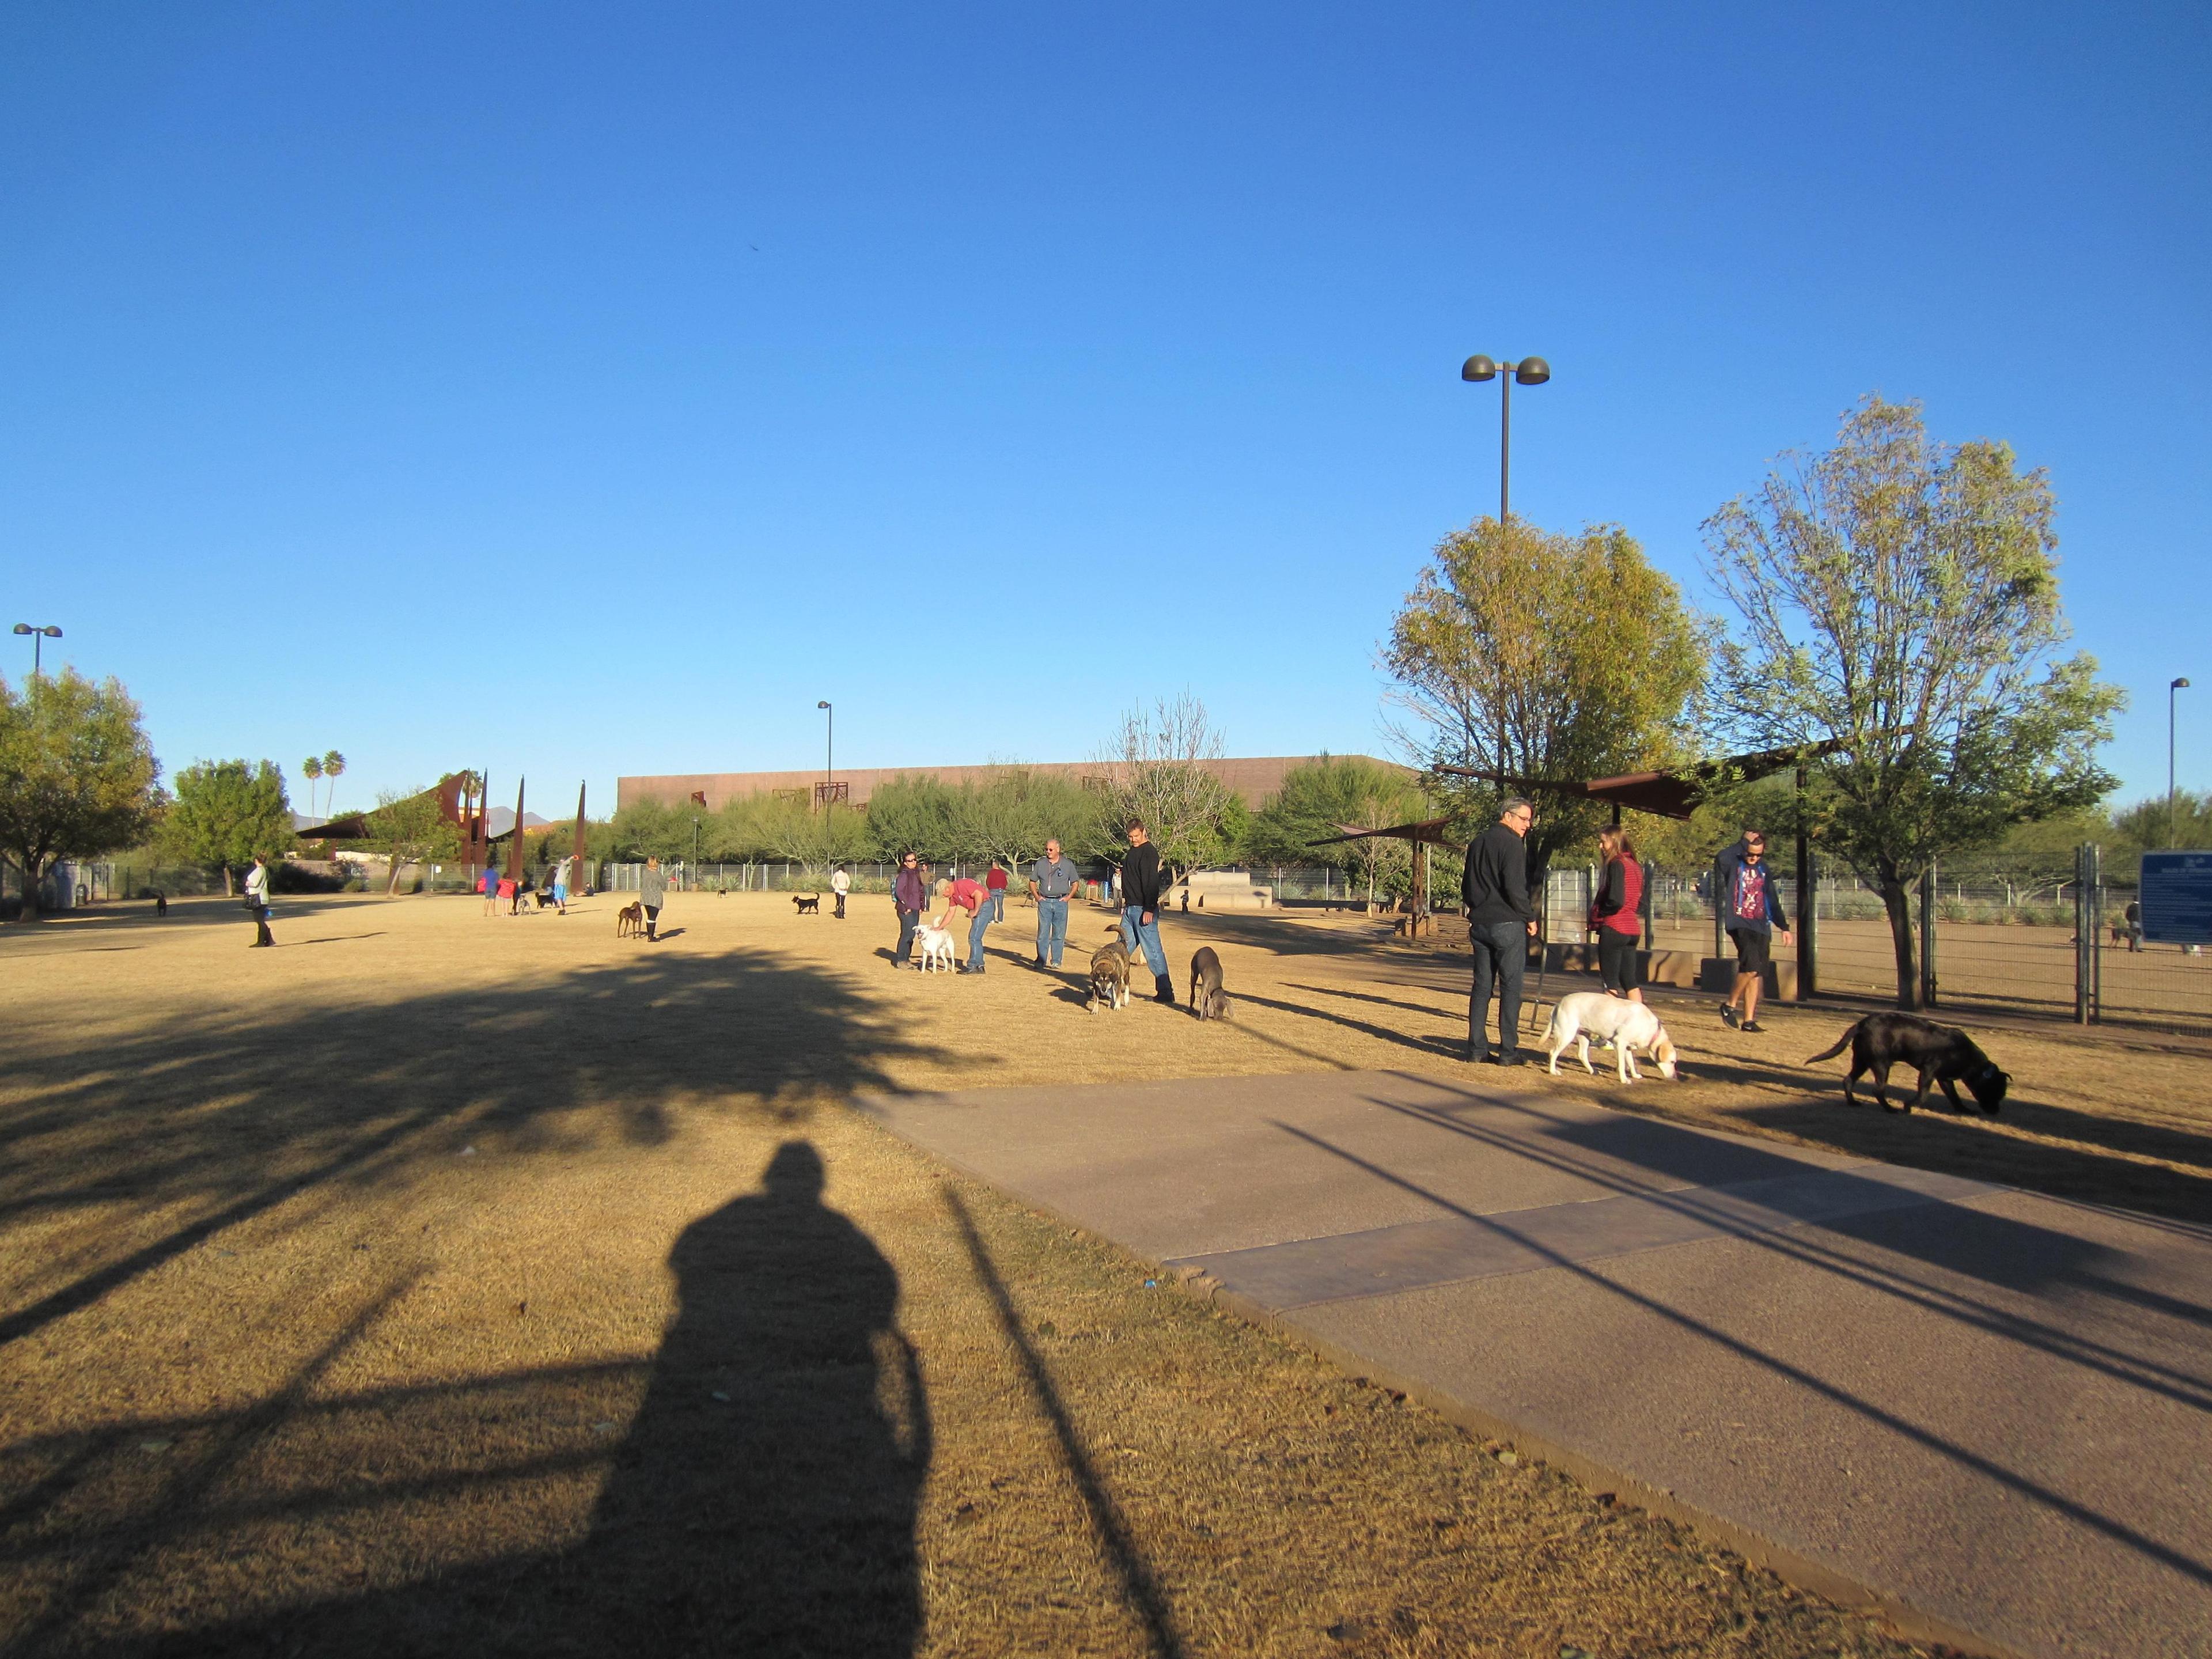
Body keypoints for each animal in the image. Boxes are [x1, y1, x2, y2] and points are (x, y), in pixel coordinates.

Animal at [1084, 938, 1132, 1013]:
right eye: (1100, 980)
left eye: (1108, 980)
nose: (1104, 990)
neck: (1105, 960)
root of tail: (1121, 943)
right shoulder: (1096, 985)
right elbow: (1096, 998)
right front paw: (1095, 1010)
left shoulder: (1118, 982)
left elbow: (1118, 995)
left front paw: (1117, 1007)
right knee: (1113, 992)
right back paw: (1112, 1003)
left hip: (1125, 975)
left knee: (1127, 985)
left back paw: (1126, 1000)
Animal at [1539, 995, 1672, 1084]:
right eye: (1672, 1062)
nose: (1674, 1077)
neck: (1652, 1029)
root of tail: (1559, 1004)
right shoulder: (1620, 1043)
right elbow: (1623, 1064)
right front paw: (1624, 1079)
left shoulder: (1628, 1048)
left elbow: (1631, 1063)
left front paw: (1635, 1075)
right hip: (1566, 1035)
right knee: (1553, 1053)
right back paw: (1553, 1071)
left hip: (1584, 1036)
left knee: (1582, 1055)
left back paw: (1593, 1071)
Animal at [1805, 1013, 2017, 1119]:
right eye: (1998, 1093)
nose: (1996, 1112)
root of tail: (1861, 1024)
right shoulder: (1928, 1071)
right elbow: (1923, 1093)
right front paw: (1908, 1106)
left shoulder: (1944, 1078)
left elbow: (1954, 1097)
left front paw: (1965, 1110)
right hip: (1881, 1064)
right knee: (1877, 1089)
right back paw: (1891, 1109)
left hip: (1862, 1061)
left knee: (1848, 1080)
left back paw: (1853, 1103)